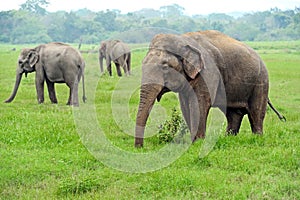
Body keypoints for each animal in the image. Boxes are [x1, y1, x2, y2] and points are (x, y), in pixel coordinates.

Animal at [135, 30, 284, 148]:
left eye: (165, 67)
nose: (140, 148)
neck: (182, 39)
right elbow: (185, 106)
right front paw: (193, 142)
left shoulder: (207, 73)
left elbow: (199, 104)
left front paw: (197, 143)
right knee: (233, 114)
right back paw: (229, 138)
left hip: (261, 82)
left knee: (256, 113)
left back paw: (257, 139)